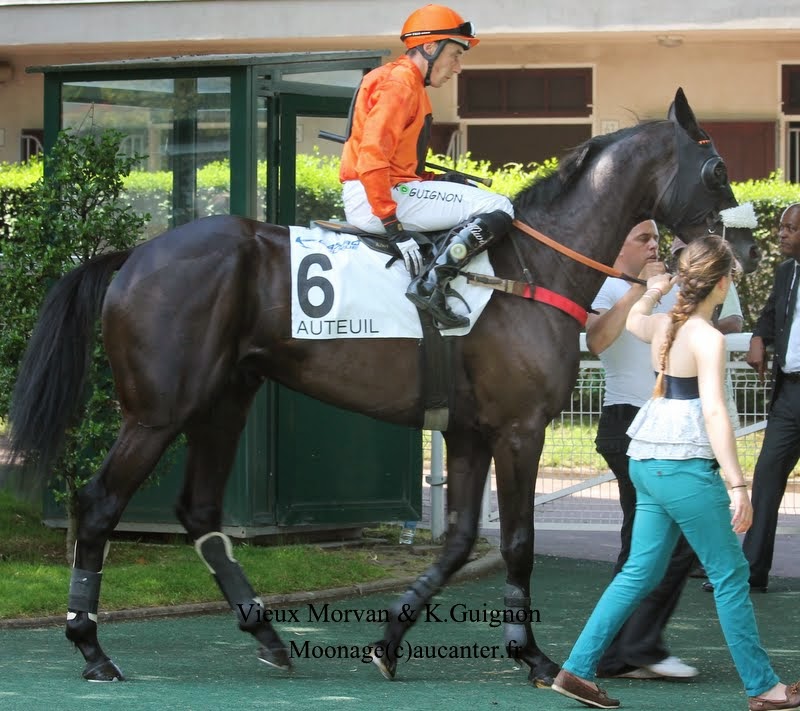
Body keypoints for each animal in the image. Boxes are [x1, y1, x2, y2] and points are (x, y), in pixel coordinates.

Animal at [7, 87, 756, 684]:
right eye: (717, 169)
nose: (744, 252)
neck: (529, 265)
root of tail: (134, 253)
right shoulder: (520, 429)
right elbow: (517, 540)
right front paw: (533, 656)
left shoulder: (469, 432)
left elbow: (459, 540)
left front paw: (390, 639)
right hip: (158, 413)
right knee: (98, 505)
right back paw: (92, 648)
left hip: (225, 401)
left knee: (198, 511)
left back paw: (269, 636)